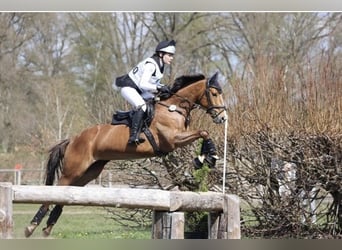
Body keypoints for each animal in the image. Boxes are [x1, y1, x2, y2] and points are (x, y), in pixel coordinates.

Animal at [24, 71, 227, 237]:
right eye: (214, 94)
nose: (223, 117)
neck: (173, 107)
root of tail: (73, 139)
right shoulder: (172, 140)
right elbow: (203, 132)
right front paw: (204, 158)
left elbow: (204, 133)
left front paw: (208, 157)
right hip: (73, 170)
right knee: (54, 192)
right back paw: (31, 226)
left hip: (88, 172)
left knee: (65, 195)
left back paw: (48, 227)